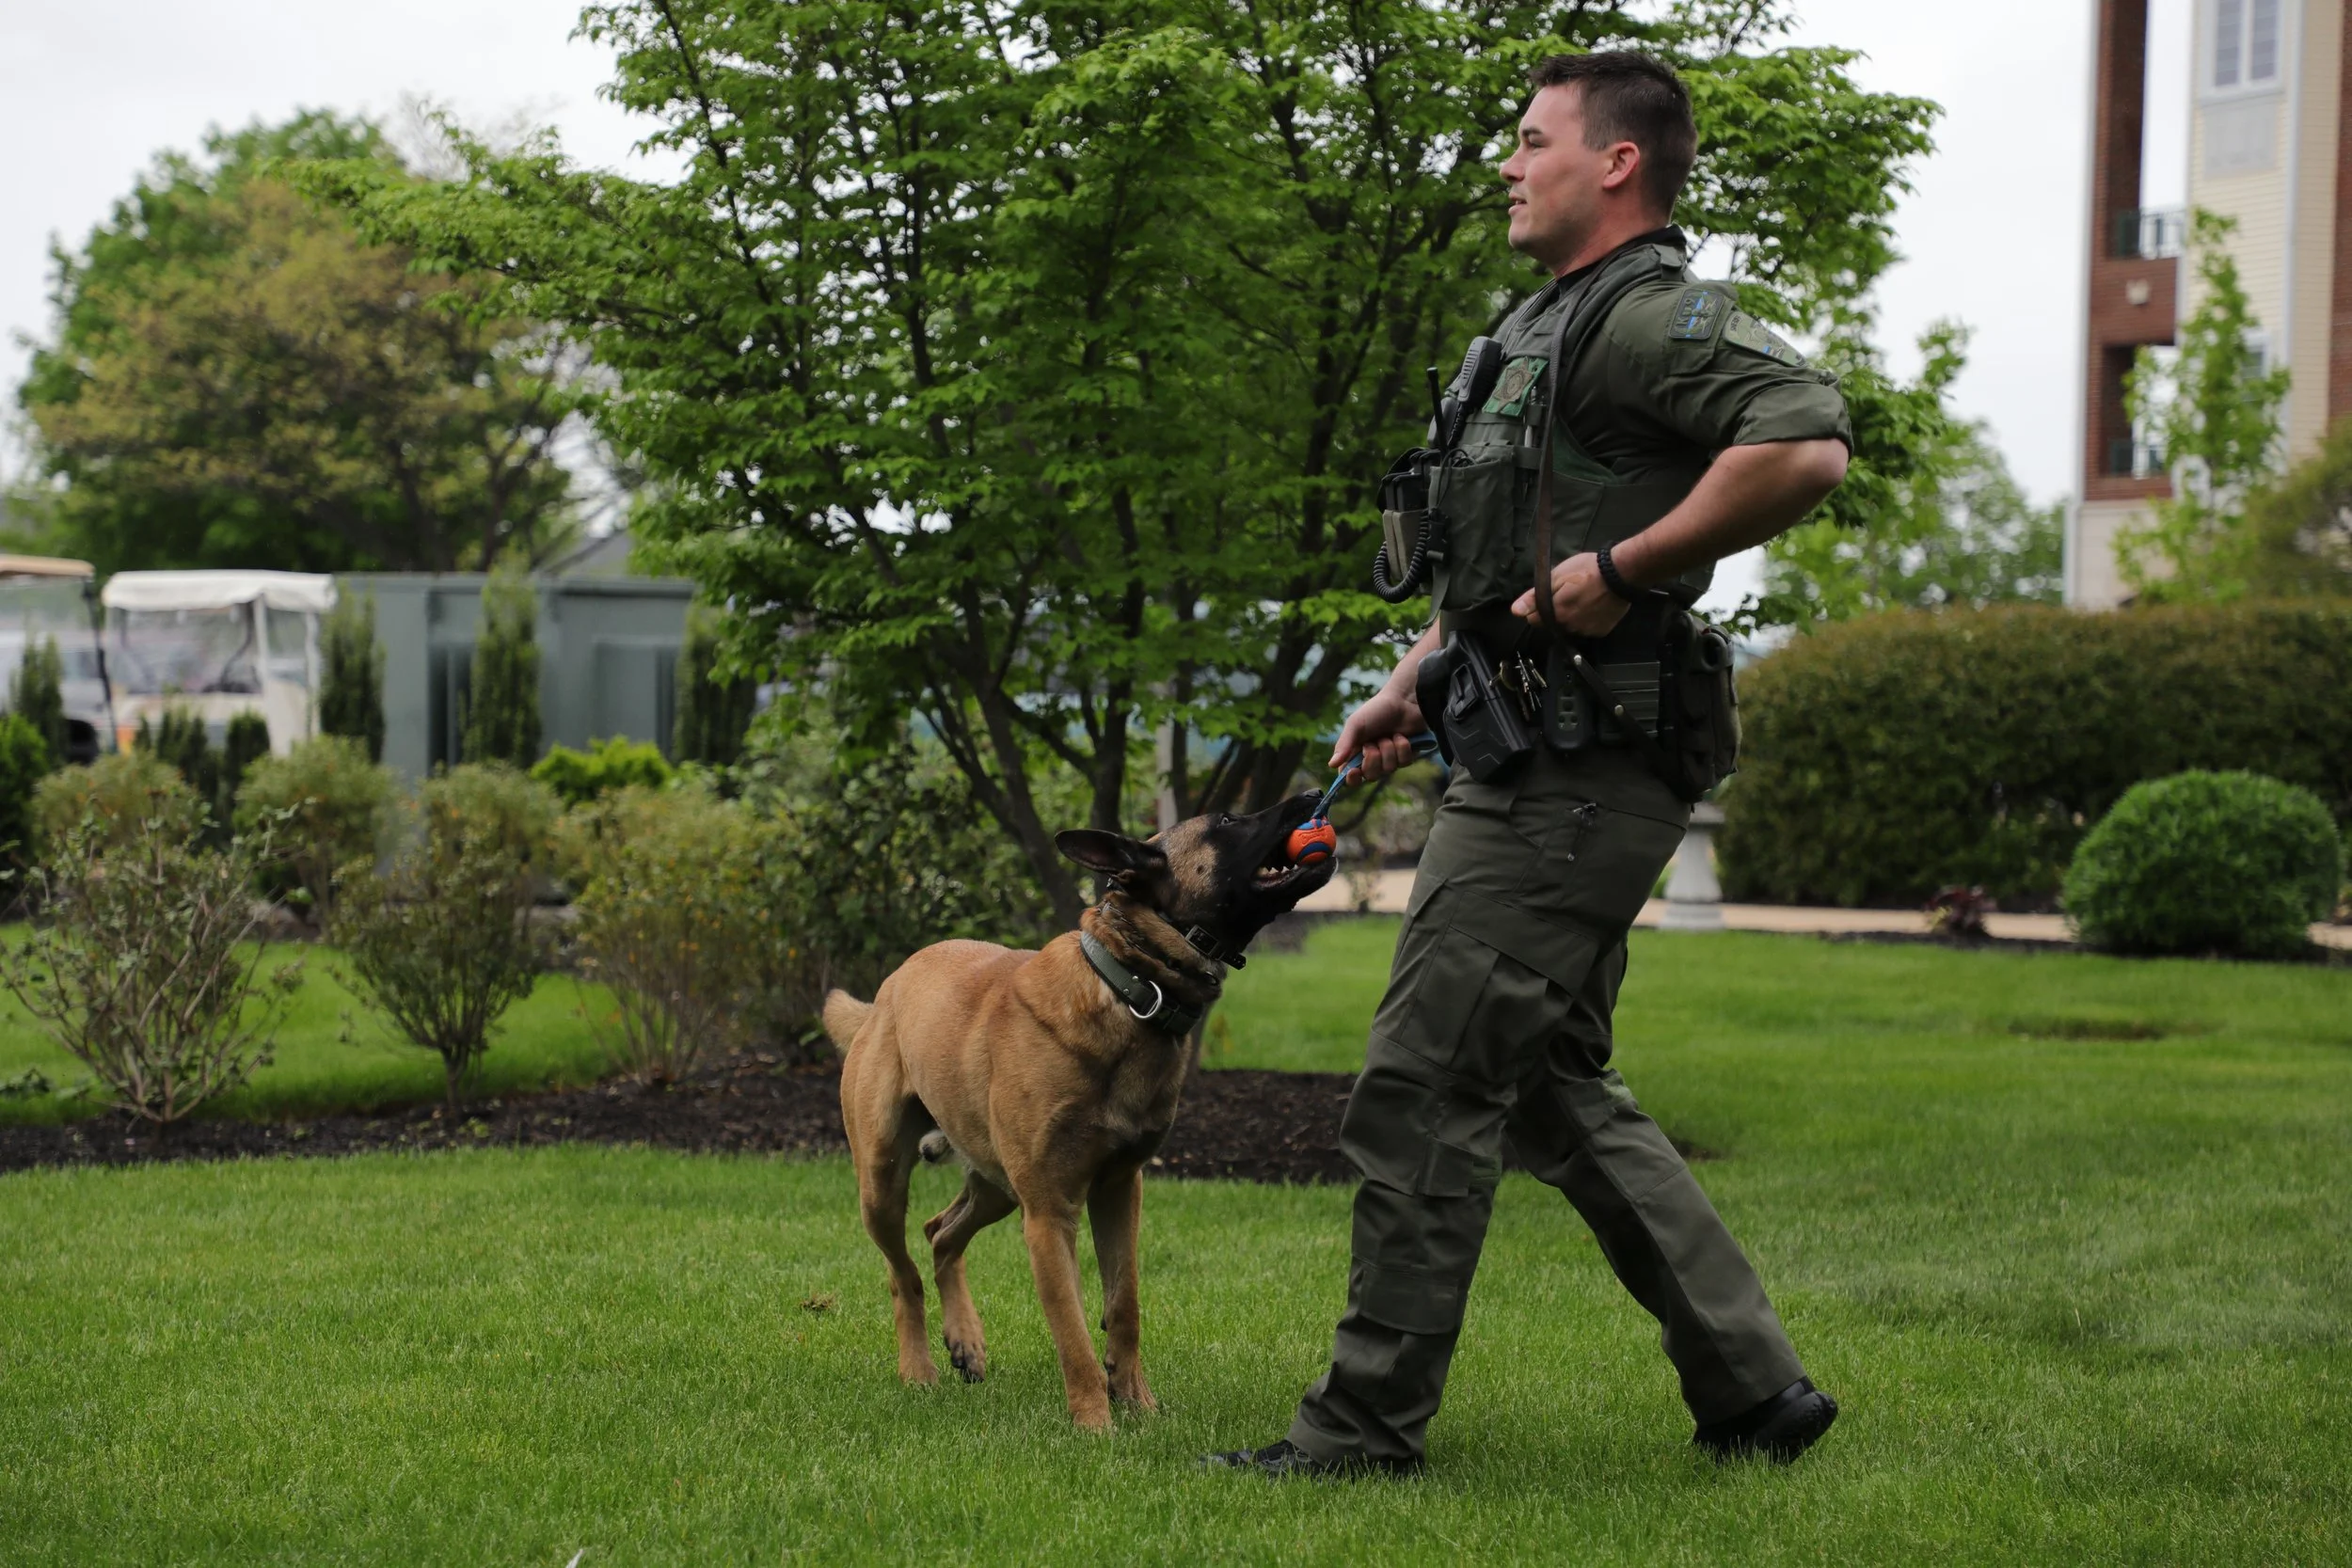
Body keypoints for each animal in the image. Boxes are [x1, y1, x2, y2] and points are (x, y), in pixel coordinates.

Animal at [824, 793, 1336, 1430]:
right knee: (903, 1274)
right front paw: (1095, 1423)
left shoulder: (1118, 1189)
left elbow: (1125, 1303)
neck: (1130, 986)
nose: (1313, 795)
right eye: (1226, 822)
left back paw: (965, 1339)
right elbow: (1071, 1329)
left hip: (997, 1184)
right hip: (884, 1183)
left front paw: (1137, 1404)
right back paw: (918, 1369)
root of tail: (885, 992)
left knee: (940, 1233)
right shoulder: (1049, 1212)